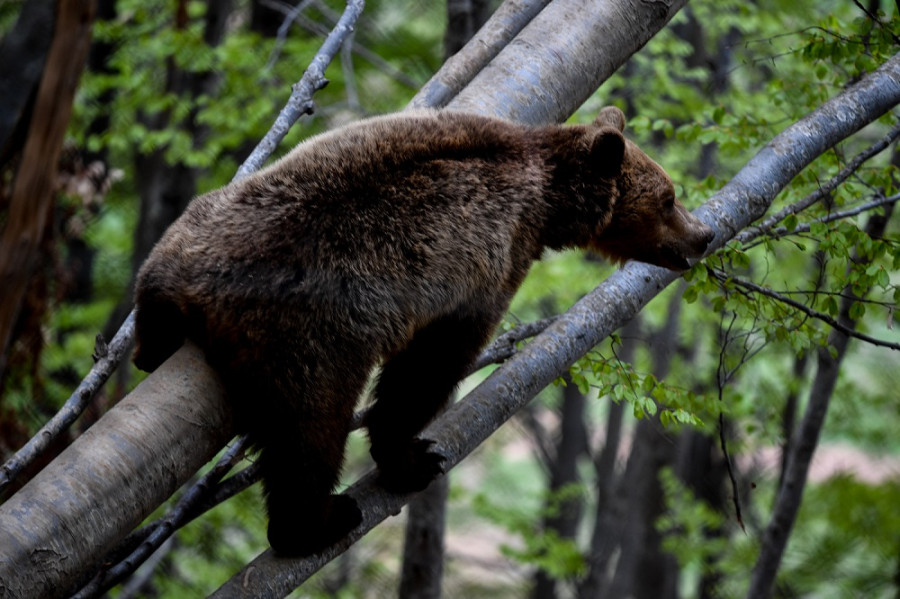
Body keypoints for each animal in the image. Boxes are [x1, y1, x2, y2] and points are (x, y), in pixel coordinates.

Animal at [132, 106, 712, 556]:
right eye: (668, 197)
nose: (703, 234)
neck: (549, 204)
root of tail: (204, 289)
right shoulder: (488, 264)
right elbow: (429, 367)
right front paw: (414, 456)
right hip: (309, 337)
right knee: (309, 434)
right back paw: (318, 520)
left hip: (194, 231)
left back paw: (148, 347)